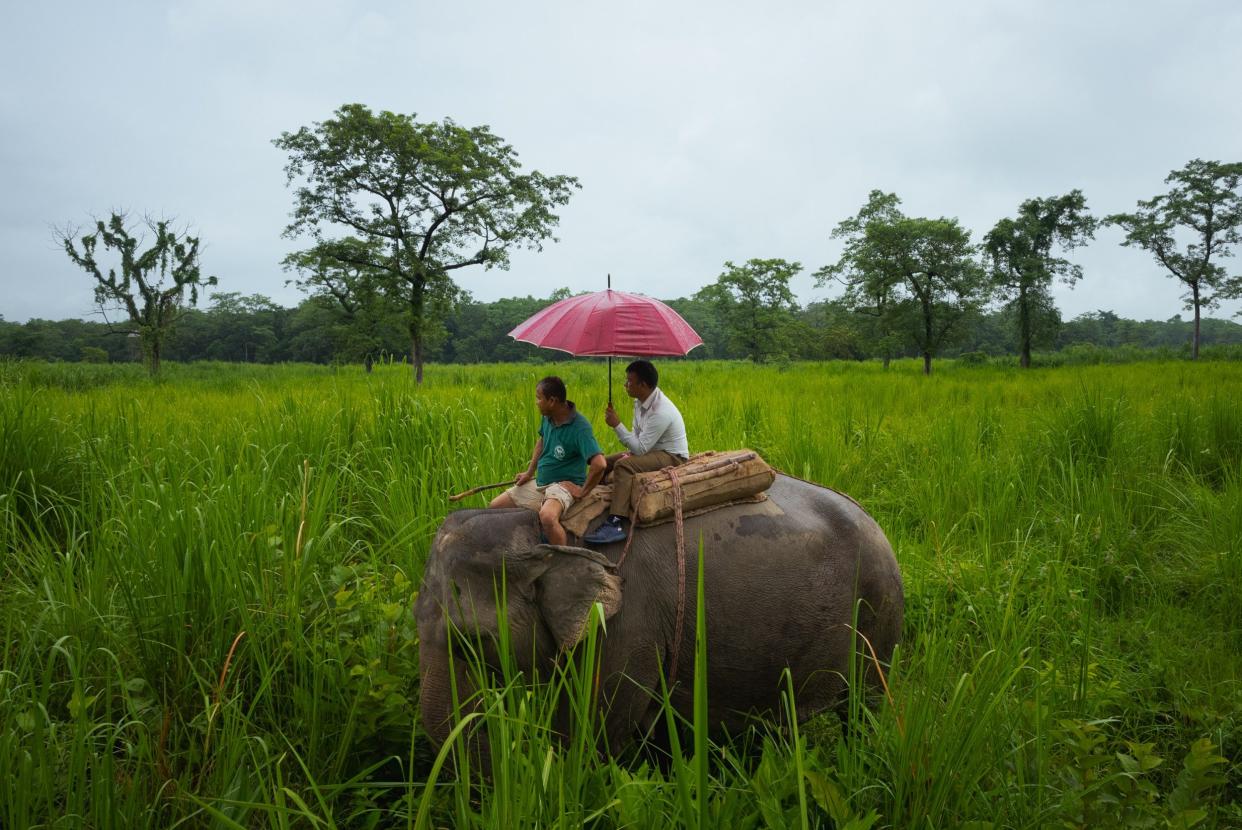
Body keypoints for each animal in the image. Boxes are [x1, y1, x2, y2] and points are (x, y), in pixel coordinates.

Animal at [417, 472, 904, 750]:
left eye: (474, 640)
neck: (540, 530)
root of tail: (877, 523)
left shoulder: (627, 624)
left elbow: (596, 731)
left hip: (880, 616)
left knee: (864, 707)